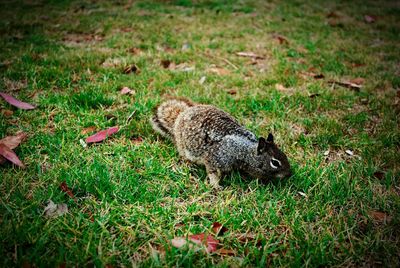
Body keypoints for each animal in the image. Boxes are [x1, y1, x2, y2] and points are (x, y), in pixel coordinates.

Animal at [150, 97, 290, 187]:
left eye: (284, 155)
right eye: (275, 162)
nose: (289, 174)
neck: (244, 150)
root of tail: (180, 116)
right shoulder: (216, 157)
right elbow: (212, 172)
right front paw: (216, 185)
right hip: (185, 148)